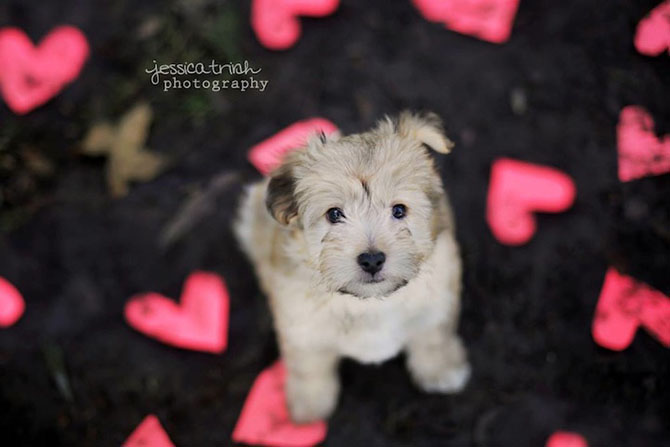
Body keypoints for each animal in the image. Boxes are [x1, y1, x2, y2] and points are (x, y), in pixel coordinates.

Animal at [236, 112, 472, 424]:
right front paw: (309, 405)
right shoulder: (302, 328)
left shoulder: (437, 302)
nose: (372, 259)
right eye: (334, 214)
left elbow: (433, 338)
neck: (368, 302)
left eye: (399, 210)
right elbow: (308, 367)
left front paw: (442, 370)